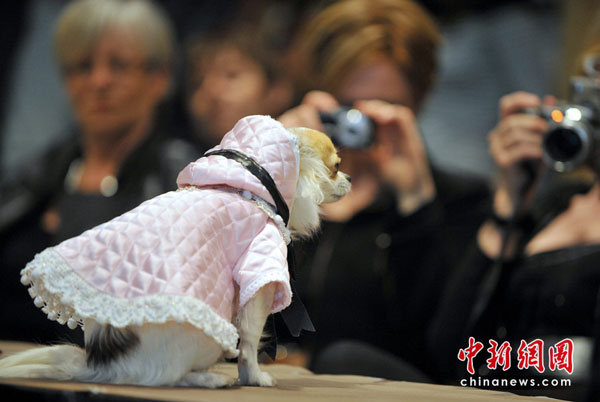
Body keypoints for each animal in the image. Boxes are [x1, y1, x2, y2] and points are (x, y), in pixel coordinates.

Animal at [0, 115, 352, 386]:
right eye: (336, 167)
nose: (349, 178)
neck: (252, 182)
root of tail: (100, 363)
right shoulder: (259, 272)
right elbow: (251, 339)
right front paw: (254, 377)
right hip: (201, 338)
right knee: (165, 376)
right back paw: (208, 378)